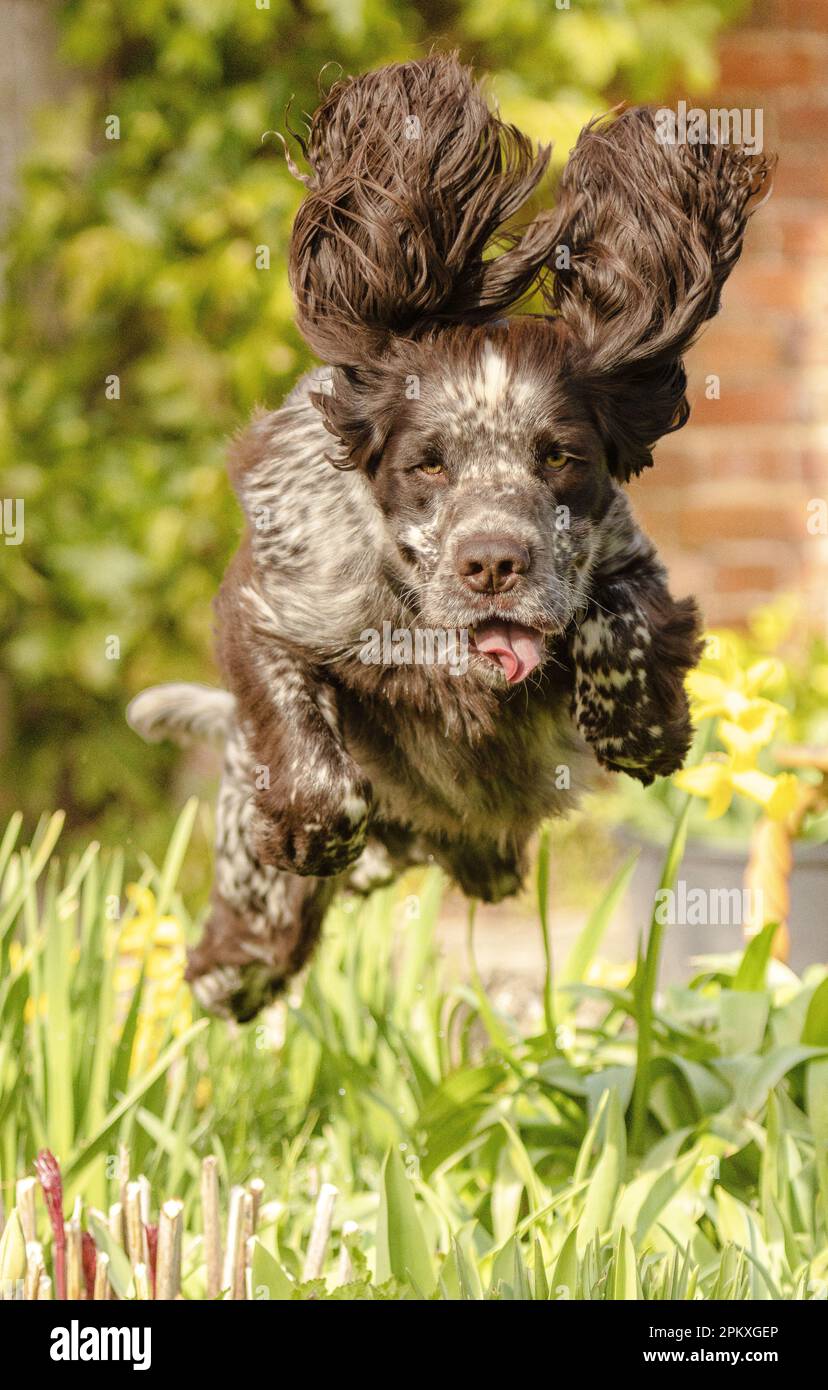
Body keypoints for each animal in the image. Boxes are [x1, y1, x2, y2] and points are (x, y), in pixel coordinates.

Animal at [126, 54, 772, 1023]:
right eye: (426, 462)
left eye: (559, 456)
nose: (493, 563)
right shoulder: (270, 600)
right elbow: (311, 751)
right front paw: (316, 826)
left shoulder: (628, 557)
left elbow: (621, 619)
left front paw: (640, 726)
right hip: (247, 941)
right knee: (225, 970)